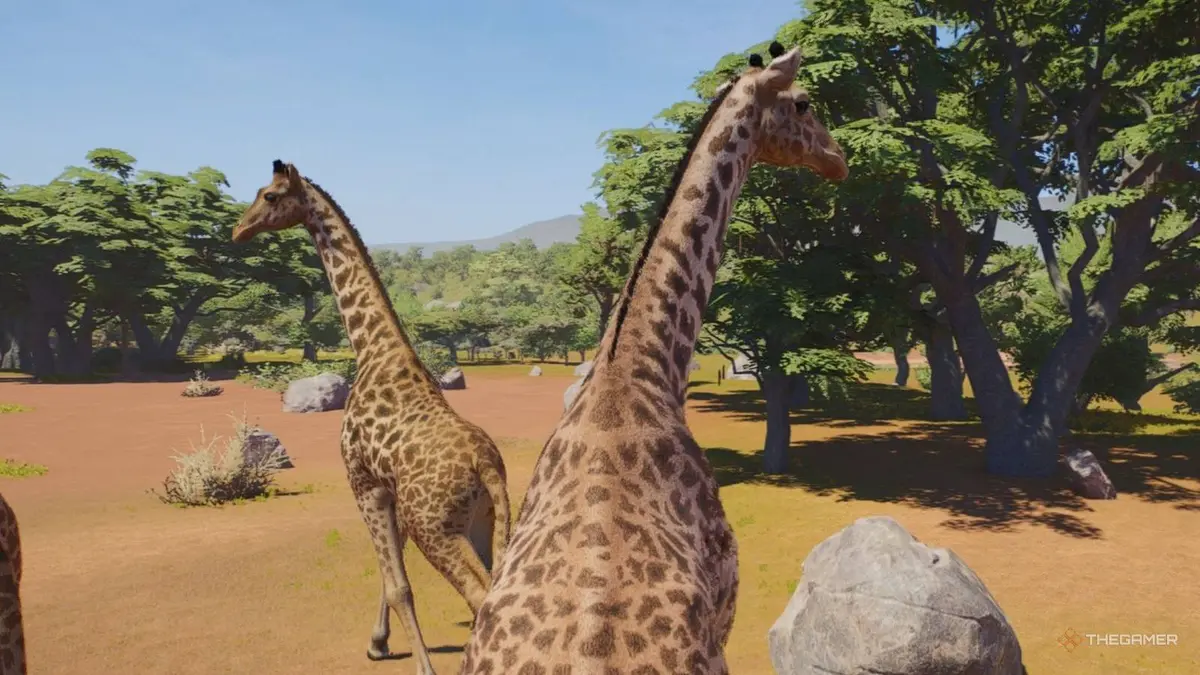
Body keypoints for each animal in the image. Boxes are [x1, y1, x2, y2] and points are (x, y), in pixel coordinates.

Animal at [232, 162, 512, 675]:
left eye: (269, 195)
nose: (239, 229)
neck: (371, 351)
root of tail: (485, 465)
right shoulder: (389, 488)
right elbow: (390, 579)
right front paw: (377, 643)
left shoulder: (362, 481)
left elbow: (399, 585)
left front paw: (415, 663)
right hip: (486, 516)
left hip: (436, 526)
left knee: (479, 594)